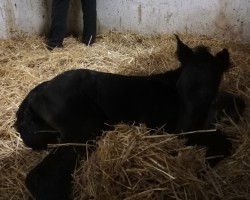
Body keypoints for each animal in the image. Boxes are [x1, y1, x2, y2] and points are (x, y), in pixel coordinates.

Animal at [15, 36, 244, 200]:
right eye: (180, 88)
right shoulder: (162, 127)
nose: (183, 130)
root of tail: (38, 92)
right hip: (84, 128)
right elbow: (222, 140)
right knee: (41, 178)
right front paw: (203, 167)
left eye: (209, 93)